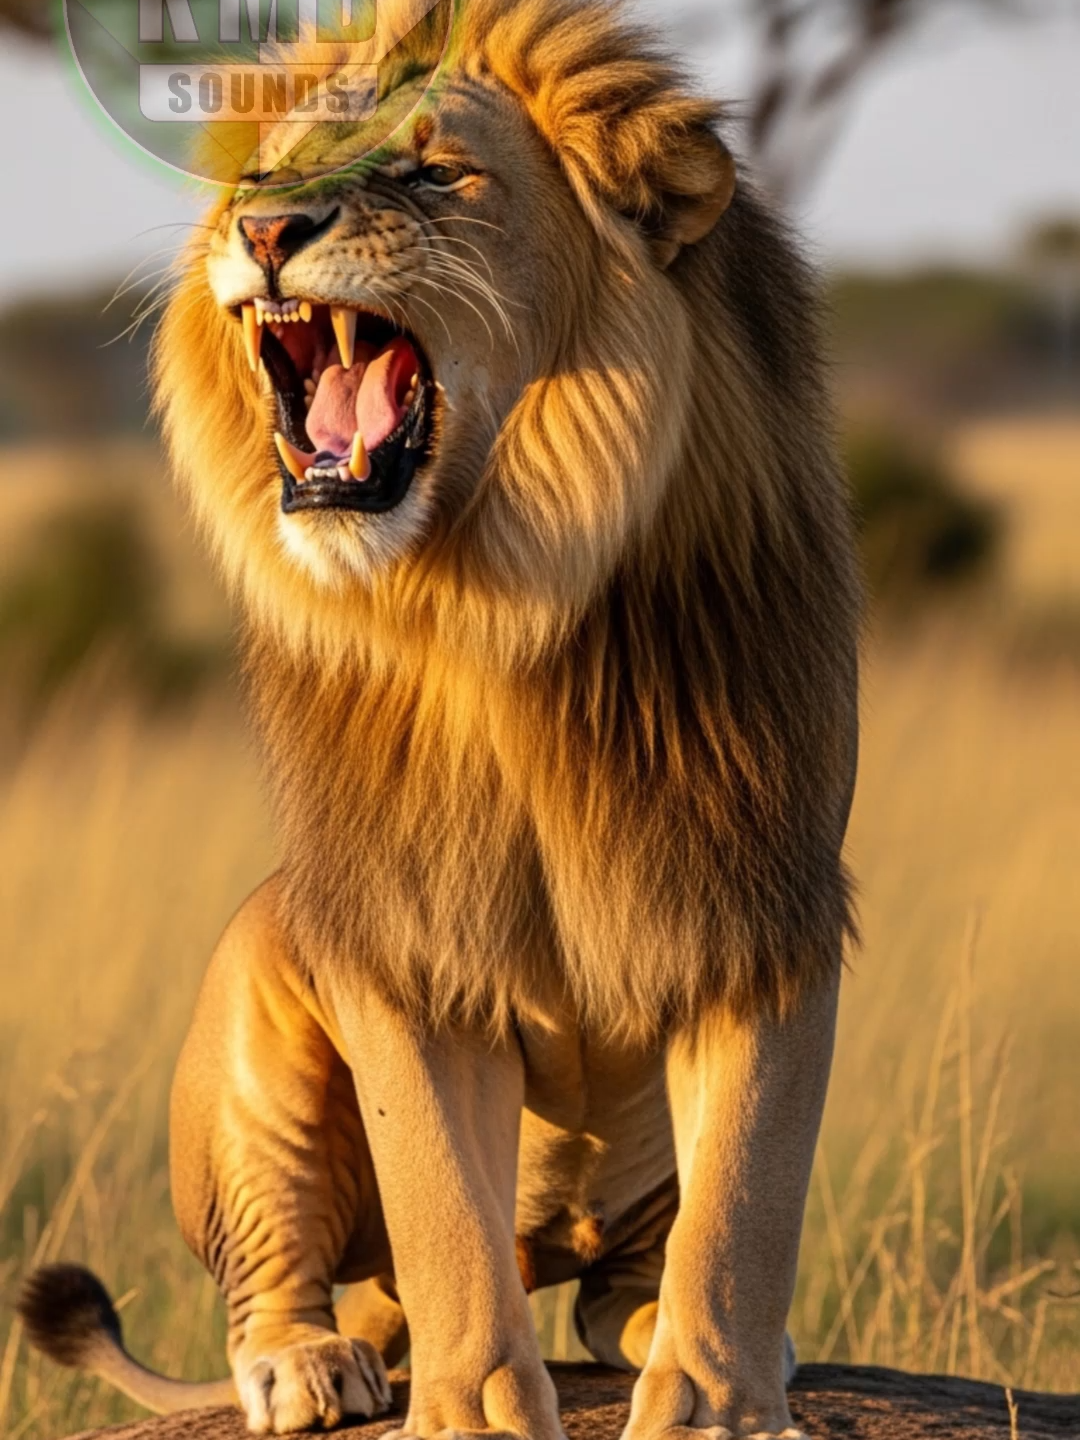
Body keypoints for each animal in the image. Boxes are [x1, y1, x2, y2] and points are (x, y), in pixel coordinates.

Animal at [20, 2, 861, 1437]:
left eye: (432, 172)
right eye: (262, 175)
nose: (263, 228)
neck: (497, 598)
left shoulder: (764, 899)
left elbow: (748, 1197)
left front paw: (716, 1402)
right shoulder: (404, 932)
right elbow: (439, 1206)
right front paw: (471, 1410)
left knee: (619, 1283)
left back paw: (657, 1323)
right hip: (257, 1010)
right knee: (302, 1272)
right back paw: (307, 1364)